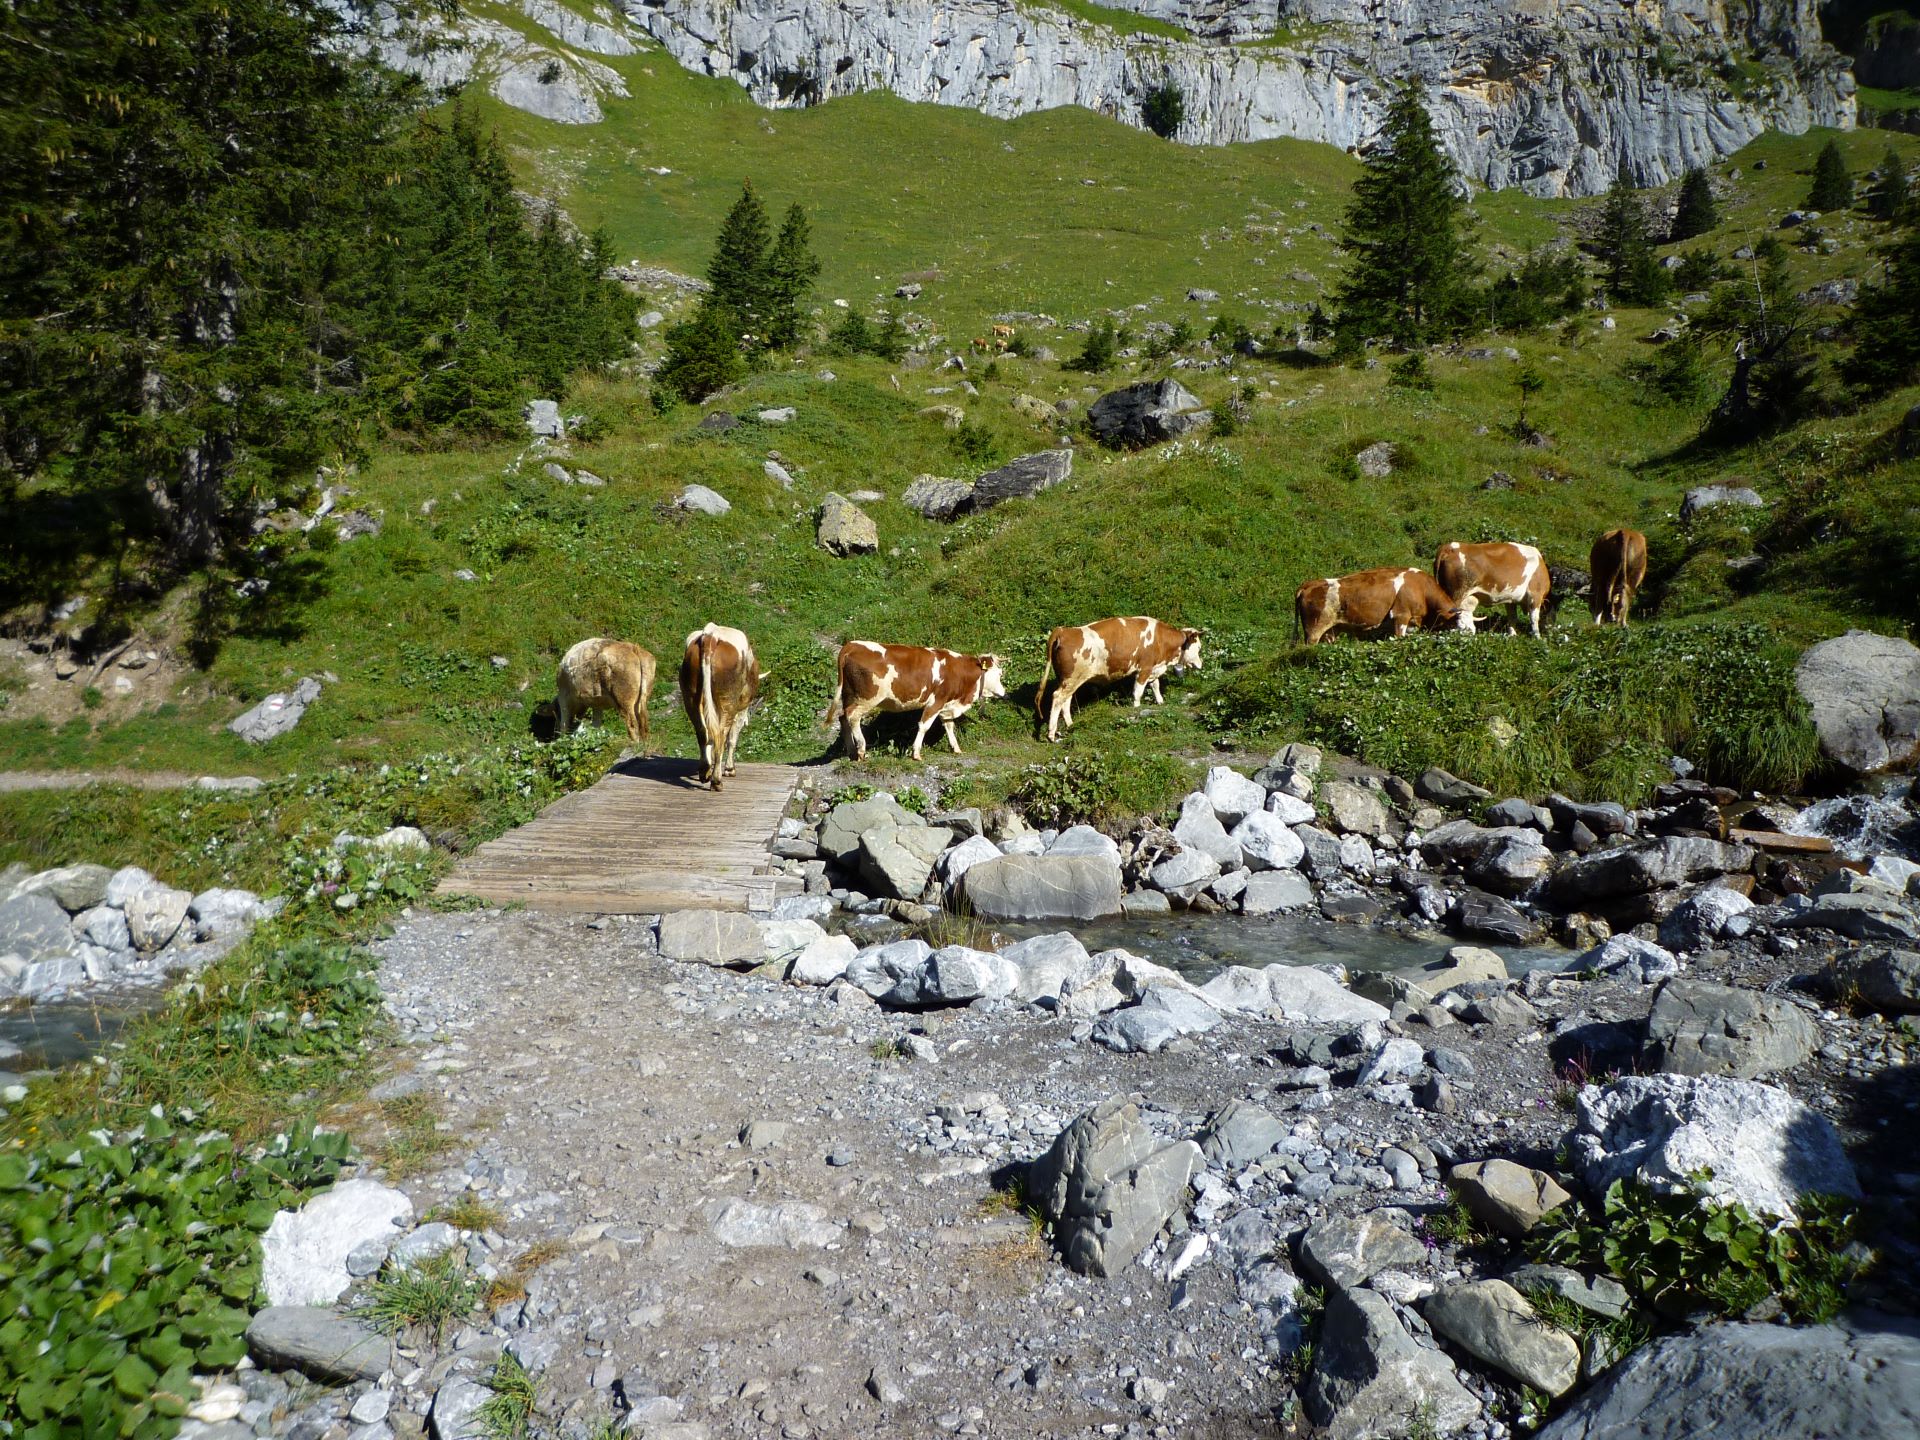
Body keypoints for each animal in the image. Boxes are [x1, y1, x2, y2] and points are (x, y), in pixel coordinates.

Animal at [679, 625, 760, 794]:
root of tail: (711, 634)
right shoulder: (742, 706)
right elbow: (733, 737)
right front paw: (729, 769)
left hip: (690, 694)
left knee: (703, 732)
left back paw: (705, 771)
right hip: (728, 699)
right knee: (721, 735)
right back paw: (716, 781)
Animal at [821, 637, 1006, 760]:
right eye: (999, 674)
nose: (1004, 693)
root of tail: (851, 645)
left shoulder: (946, 704)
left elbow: (949, 726)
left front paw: (956, 748)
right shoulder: (936, 701)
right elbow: (924, 726)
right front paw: (916, 753)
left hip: (849, 695)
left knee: (843, 717)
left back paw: (852, 751)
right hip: (867, 698)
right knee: (852, 716)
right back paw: (860, 749)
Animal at [1036, 614, 1198, 744]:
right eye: (1198, 648)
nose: (1200, 664)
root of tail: (1064, 630)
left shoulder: (1153, 669)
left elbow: (1155, 686)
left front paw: (1160, 702)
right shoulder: (1144, 669)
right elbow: (1138, 692)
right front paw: (1136, 708)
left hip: (1068, 680)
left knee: (1066, 700)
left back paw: (1070, 724)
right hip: (1072, 678)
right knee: (1058, 697)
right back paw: (1051, 735)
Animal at [1297, 568, 1459, 648]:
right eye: (1456, 626)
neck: (1421, 587)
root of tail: (1309, 584)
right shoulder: (1400, 616)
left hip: (1330, 631)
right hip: (1313, 631)